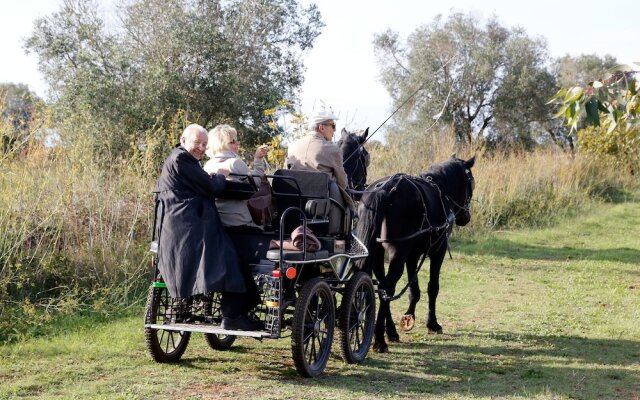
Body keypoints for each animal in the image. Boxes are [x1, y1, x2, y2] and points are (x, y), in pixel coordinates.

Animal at [356, 155, 476, 352]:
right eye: (471, 182)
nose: (466, 218)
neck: (440, 189)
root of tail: (385, 190)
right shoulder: (438, 251)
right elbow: (432, 287)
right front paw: (432, 324)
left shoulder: (412, 255)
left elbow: (414, 290)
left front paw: (408, 317)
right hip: (398, 253)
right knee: (387, 287)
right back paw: (380, 340)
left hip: (377, 253)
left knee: (381, 287)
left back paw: (390, 331)